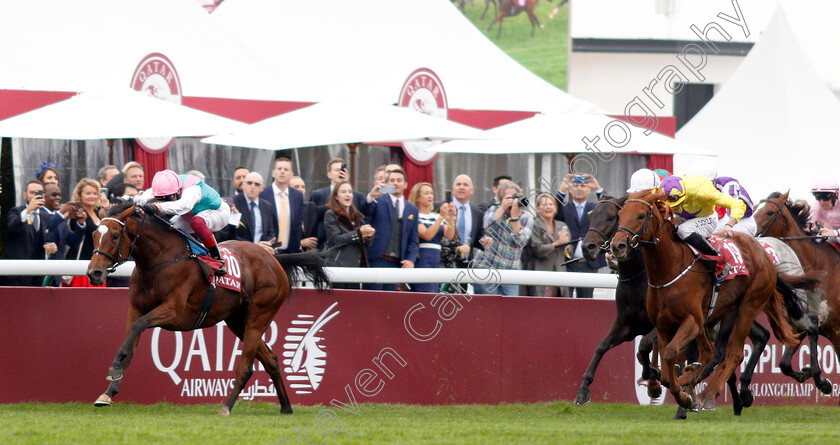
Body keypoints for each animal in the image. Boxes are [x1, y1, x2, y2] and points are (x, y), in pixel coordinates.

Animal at [86, 201, 332, 412]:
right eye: (94, 235)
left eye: (115, 236)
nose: (94, 273)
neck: (160, 261)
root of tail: (275, 259)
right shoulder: (135, 308)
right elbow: (131, 342)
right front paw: (108, 391)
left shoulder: (174, 312)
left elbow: (139, 326)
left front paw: (113, 368)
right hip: (237, 321)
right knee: (271, 359)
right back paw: (286, 407)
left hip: (259, 315)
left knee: (247, 366)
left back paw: (226, 407)